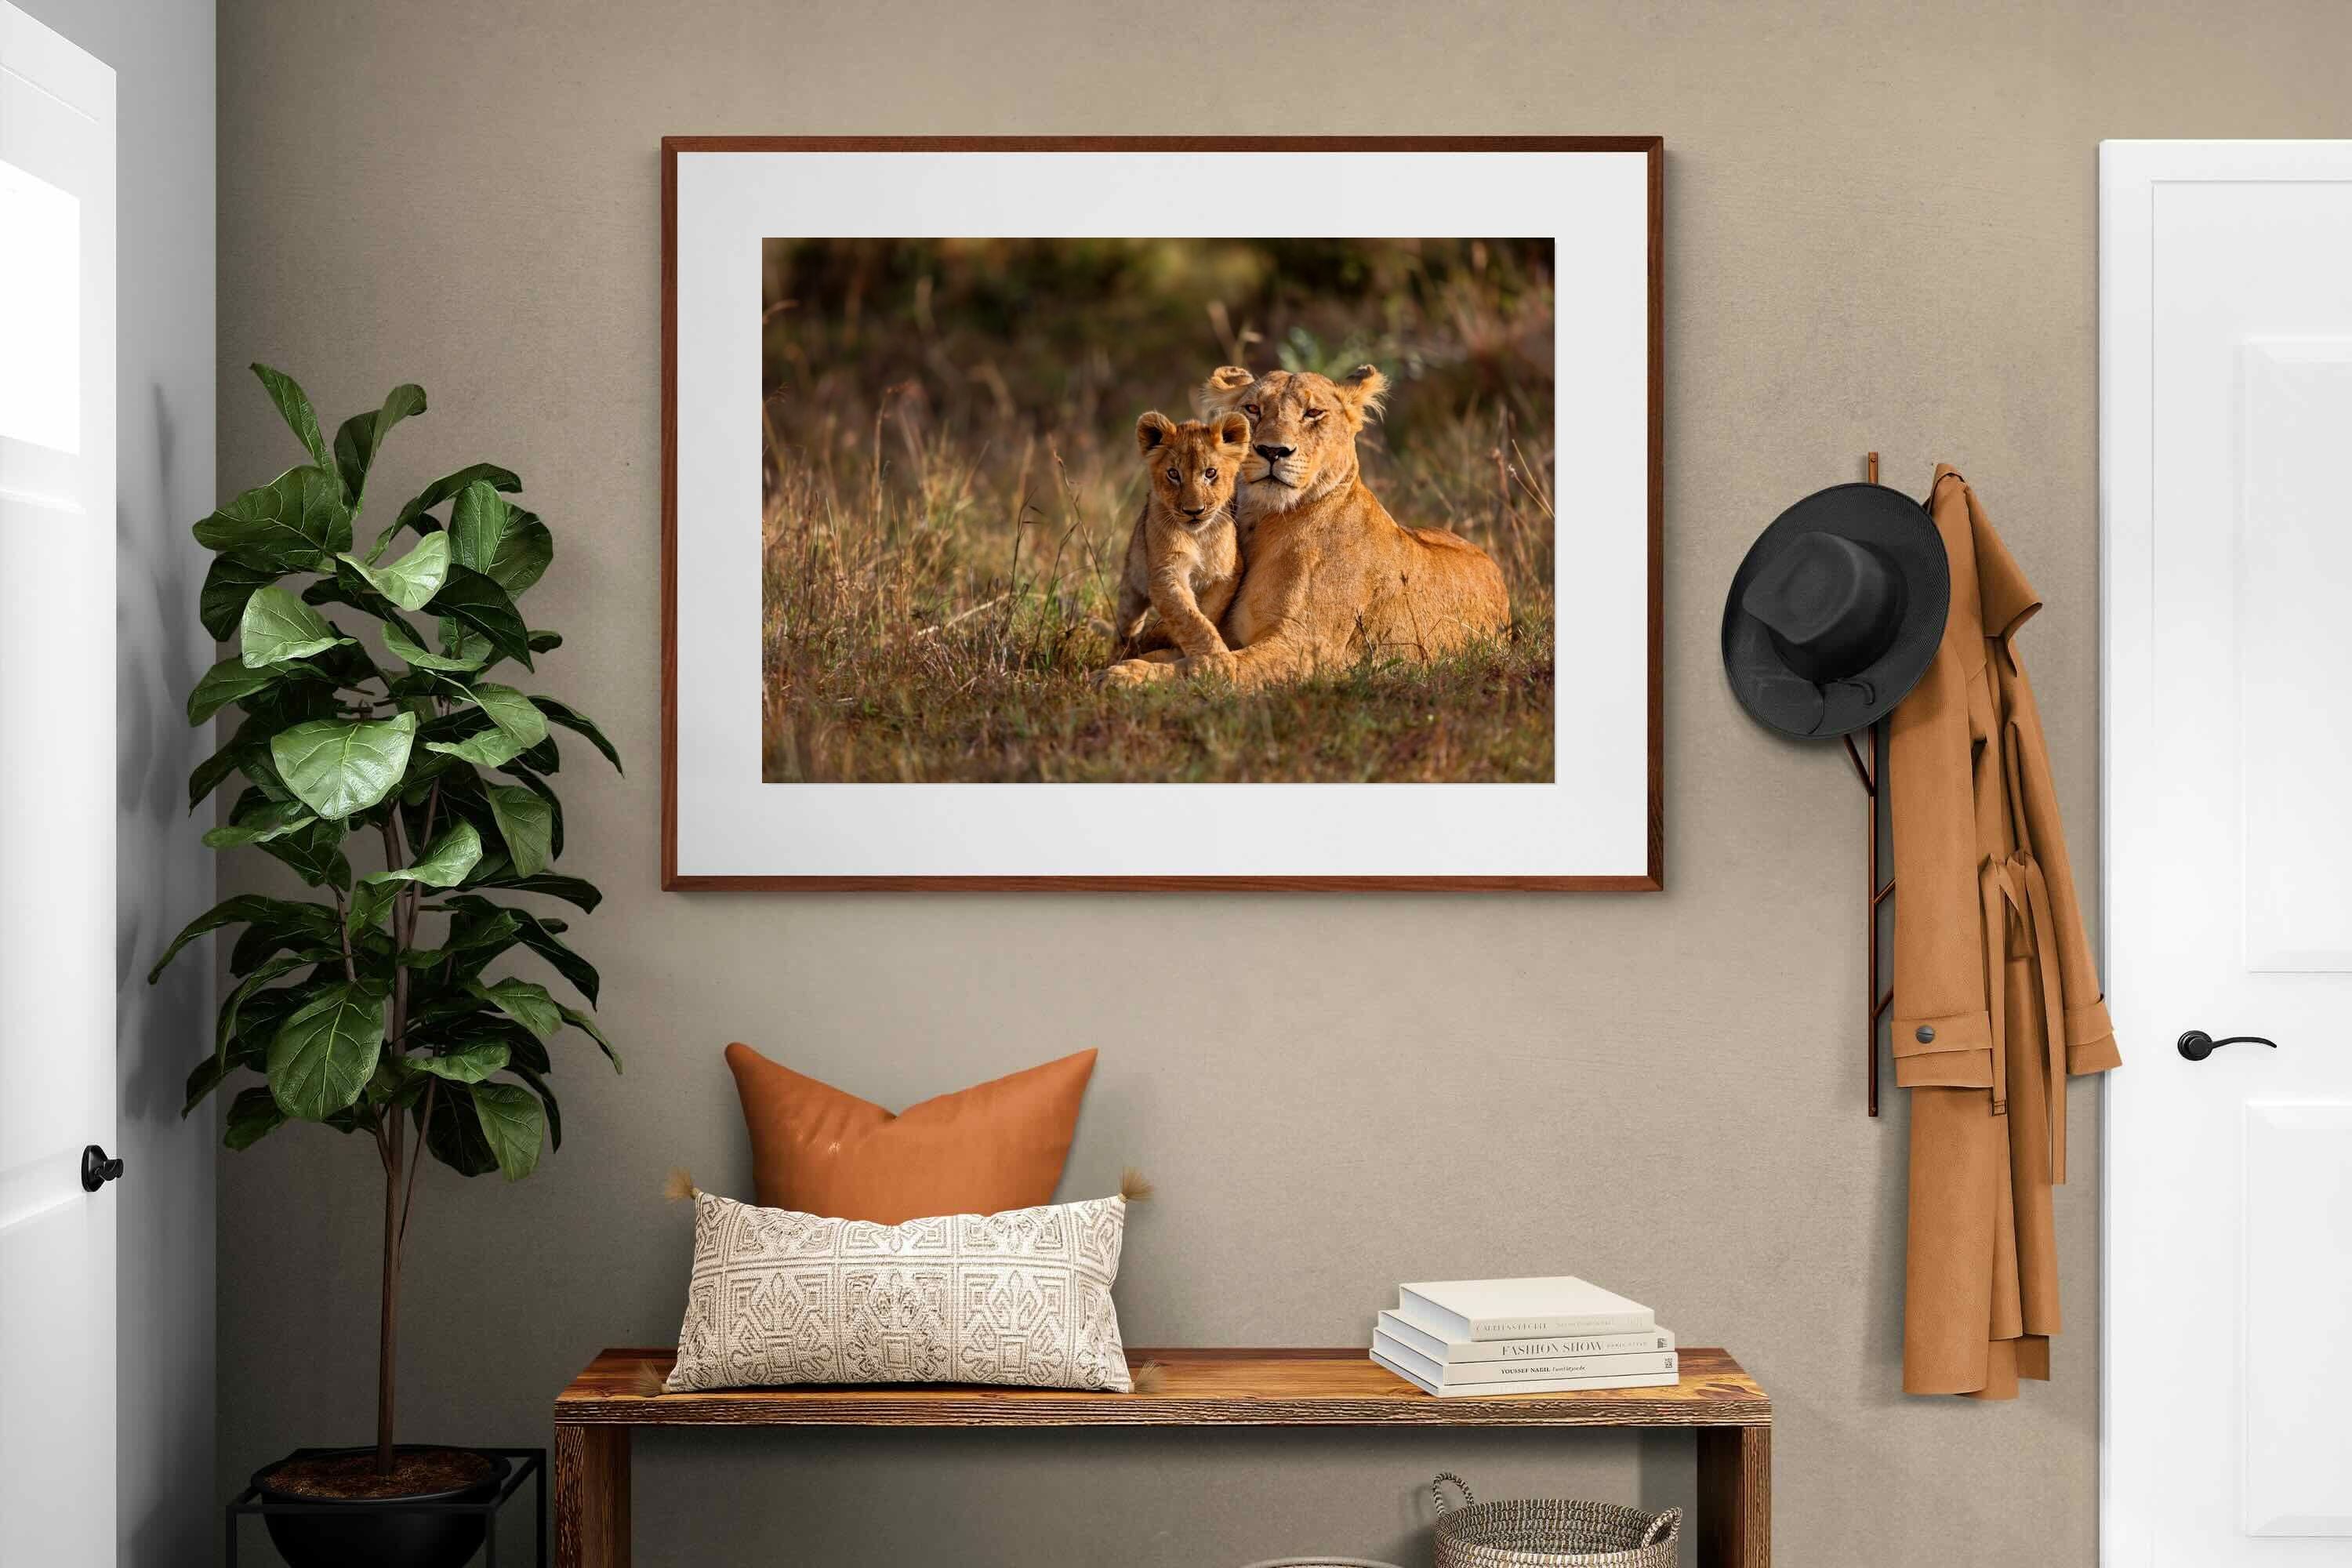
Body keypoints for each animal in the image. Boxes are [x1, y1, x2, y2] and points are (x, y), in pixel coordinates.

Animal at [1109, 411, 1249, 660]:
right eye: (1173, 474)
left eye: (1210, 473)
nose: (1194, 511)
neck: (1198, 537)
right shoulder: (1166, 573)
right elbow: (1189, 618)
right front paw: (1216, 659)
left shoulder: (1228, 573)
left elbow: (1207, 613)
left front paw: (1163, 635)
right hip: (1131, 585)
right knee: (1127, 624)